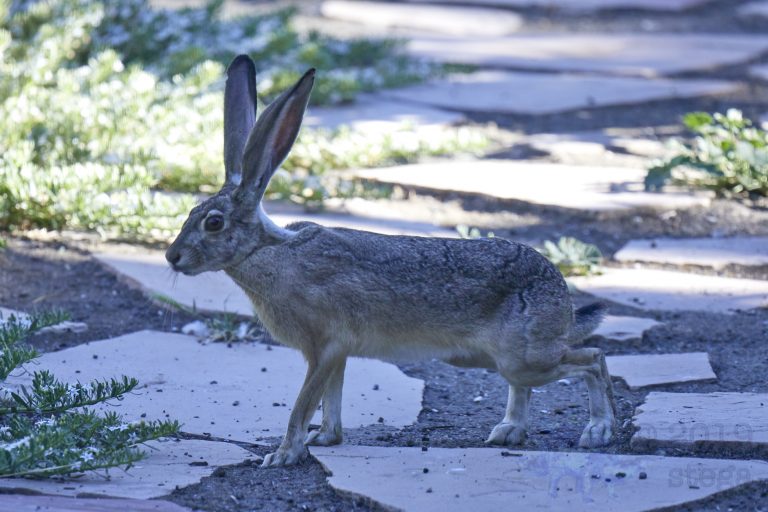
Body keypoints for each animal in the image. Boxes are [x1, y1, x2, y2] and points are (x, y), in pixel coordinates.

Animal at [165, 54, 616, 468]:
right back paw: (509, 431)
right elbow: (331, 399)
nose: (172, 257)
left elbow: (303, 403)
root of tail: (561, 296)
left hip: (523, 357)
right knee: (526, 385)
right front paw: (325, 439)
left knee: (592, 360)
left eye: (213, 223)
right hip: (493, 359)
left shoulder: (324, 345)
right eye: (189, 212)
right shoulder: (336, 355)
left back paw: (597, 431)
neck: (266, 250)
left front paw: (283, 454)